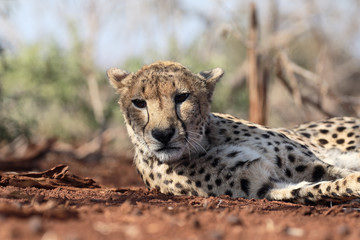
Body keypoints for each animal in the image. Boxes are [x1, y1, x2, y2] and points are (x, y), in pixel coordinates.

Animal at [107, 61, 360, 203]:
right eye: (139, 103)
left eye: (182, 97)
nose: (162, 134)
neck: (207, 141)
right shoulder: (266, 187)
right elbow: (318, 187)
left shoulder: (310, 163)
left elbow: (337, 172)